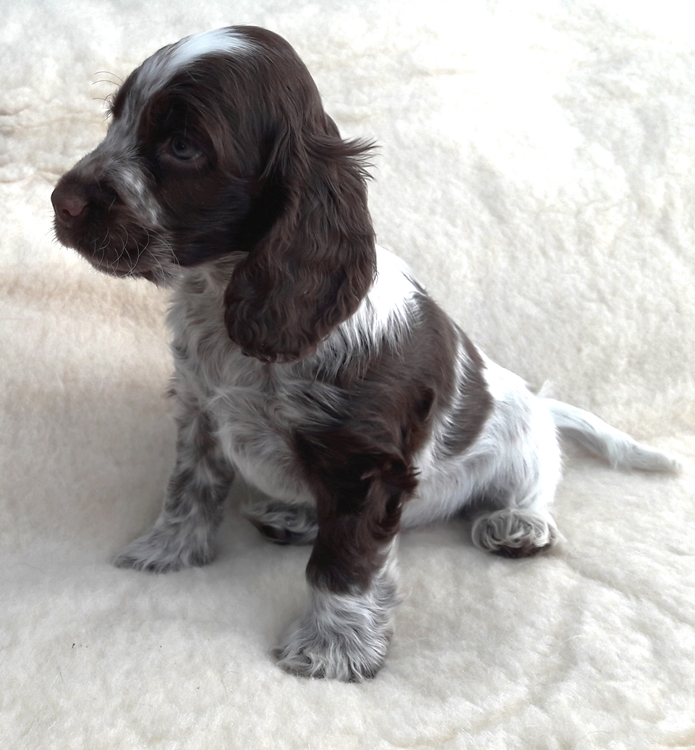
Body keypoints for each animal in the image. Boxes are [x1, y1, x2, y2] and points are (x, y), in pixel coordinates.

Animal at [51, 26, 679, 681]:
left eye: (181, 146)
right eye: (116, 119)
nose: (60, 200)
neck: (223, 297)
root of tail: (536, 400)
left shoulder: (367, 467)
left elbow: (344, 560)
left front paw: (334, 647)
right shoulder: (201, 412)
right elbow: (189, 489)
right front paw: (166, 550)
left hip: (521, 443)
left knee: (533, 485)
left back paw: (518, 525)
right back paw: (295, 516)